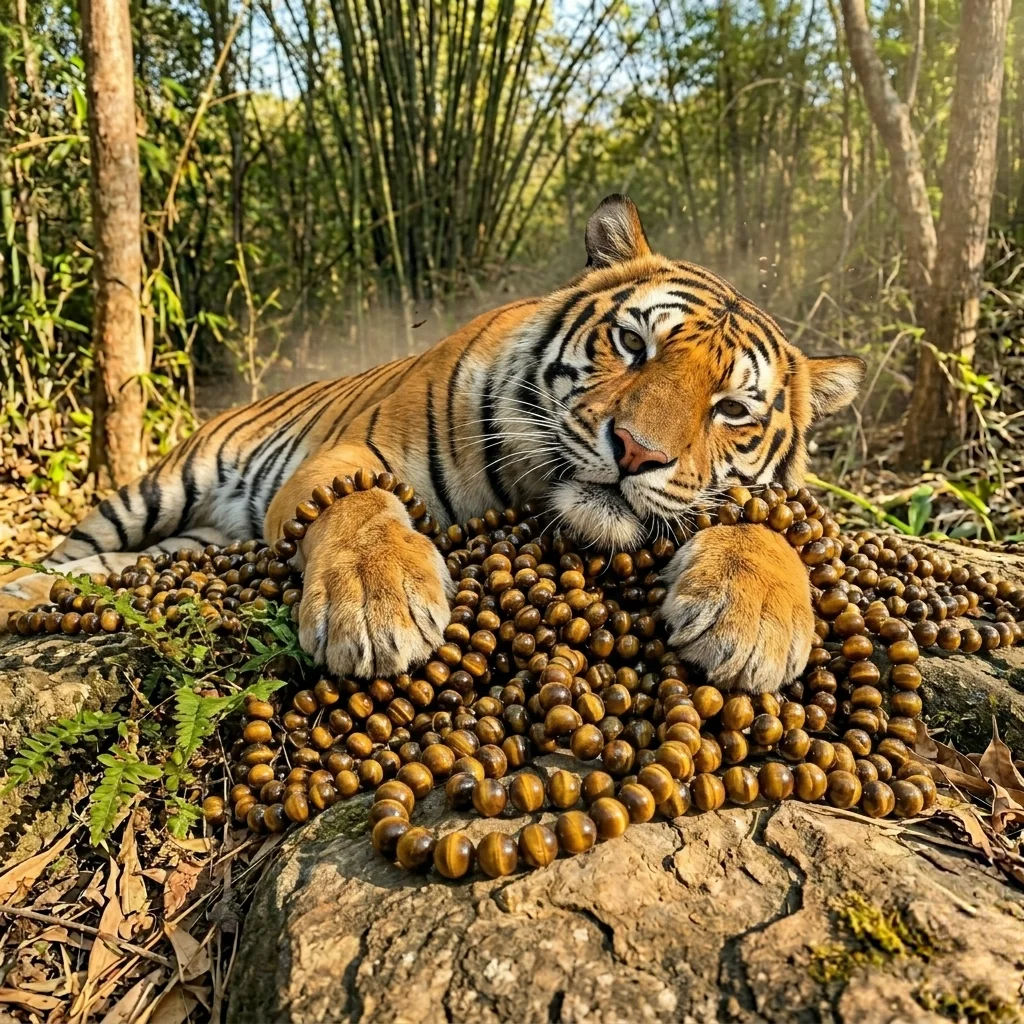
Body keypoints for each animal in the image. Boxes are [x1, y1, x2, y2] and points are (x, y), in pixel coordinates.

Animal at [0, 195, 864, 693]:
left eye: (732, 409)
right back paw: (20, 590)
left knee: (117, 569)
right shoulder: (351, 453)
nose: (635, 450)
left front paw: (753, 620)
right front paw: (376, 605)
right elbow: (359, 510)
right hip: (153, 492)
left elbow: (765, 525)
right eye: (631, 343)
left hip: (188, 542)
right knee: (72, 553)